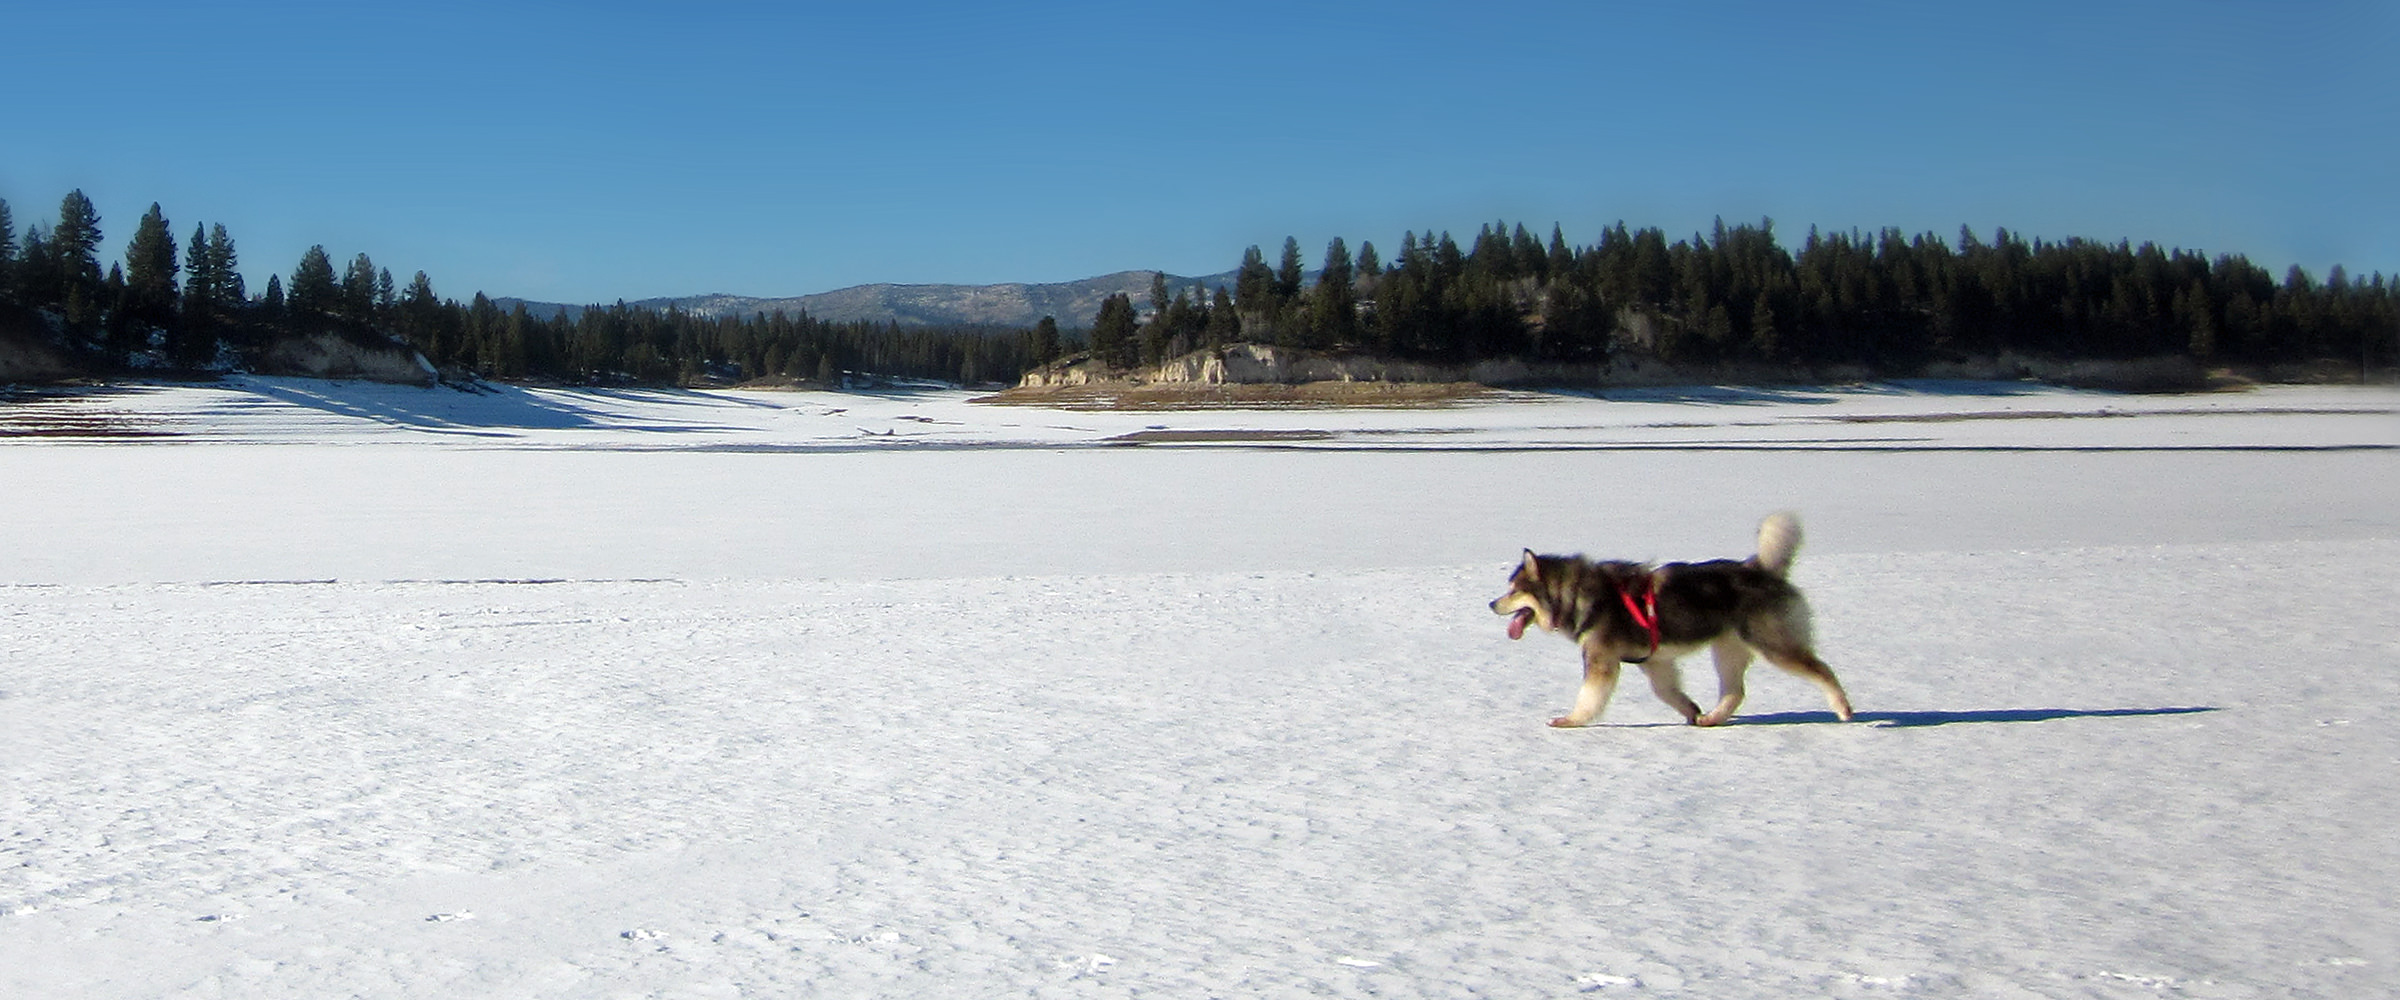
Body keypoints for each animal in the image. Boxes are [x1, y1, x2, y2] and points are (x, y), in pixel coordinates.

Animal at [1478, 513, 1852, 724]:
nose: (1492, 604)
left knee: (1823, 670)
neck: (1580, 594)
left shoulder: (1601, 661)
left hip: (1772, 645)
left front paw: (1570, 720)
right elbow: (1667, 692)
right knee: (1735, 692)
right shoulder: (1654, 661)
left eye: (1513, 591)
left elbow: (1589, 697)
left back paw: (1843, 708)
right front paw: (1691, 711)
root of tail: (1761, 569)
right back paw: (1711, 718)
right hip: (1728, 650)